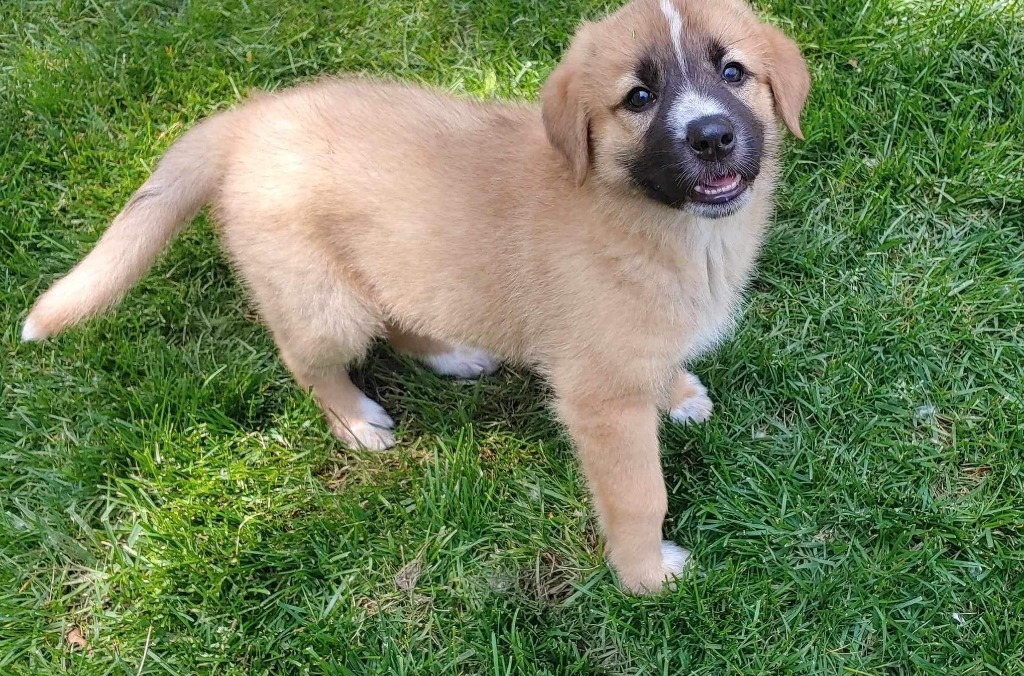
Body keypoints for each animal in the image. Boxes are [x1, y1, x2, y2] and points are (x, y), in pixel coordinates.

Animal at [19, 0, 811, 589]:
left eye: (734, 72)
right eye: (639, 98)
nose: (711, 136)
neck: (657, 223)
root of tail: (249, 120)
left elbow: (665, 362)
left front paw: (677, 393)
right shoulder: (601, 399)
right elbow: (640, 494)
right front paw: (645, 575)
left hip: (393, 269)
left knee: (400, 318)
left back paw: (452, 356)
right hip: (323, 301)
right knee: (307, 359)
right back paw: (356, 423)